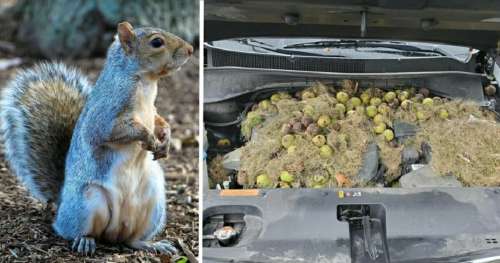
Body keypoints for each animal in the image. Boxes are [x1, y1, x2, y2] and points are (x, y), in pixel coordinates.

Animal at [0, 21, 193, 256]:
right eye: (157, 42)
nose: (191, 49)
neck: (146, 82)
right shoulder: (106, 114)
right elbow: (110, 131)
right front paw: (149, 138)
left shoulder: (152, 110)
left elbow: (159, 120)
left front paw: (165, 138)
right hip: (89, 203)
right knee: (78, 231)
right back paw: (85, 241)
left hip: (153, 202)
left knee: (132, 240)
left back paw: (151, 244)